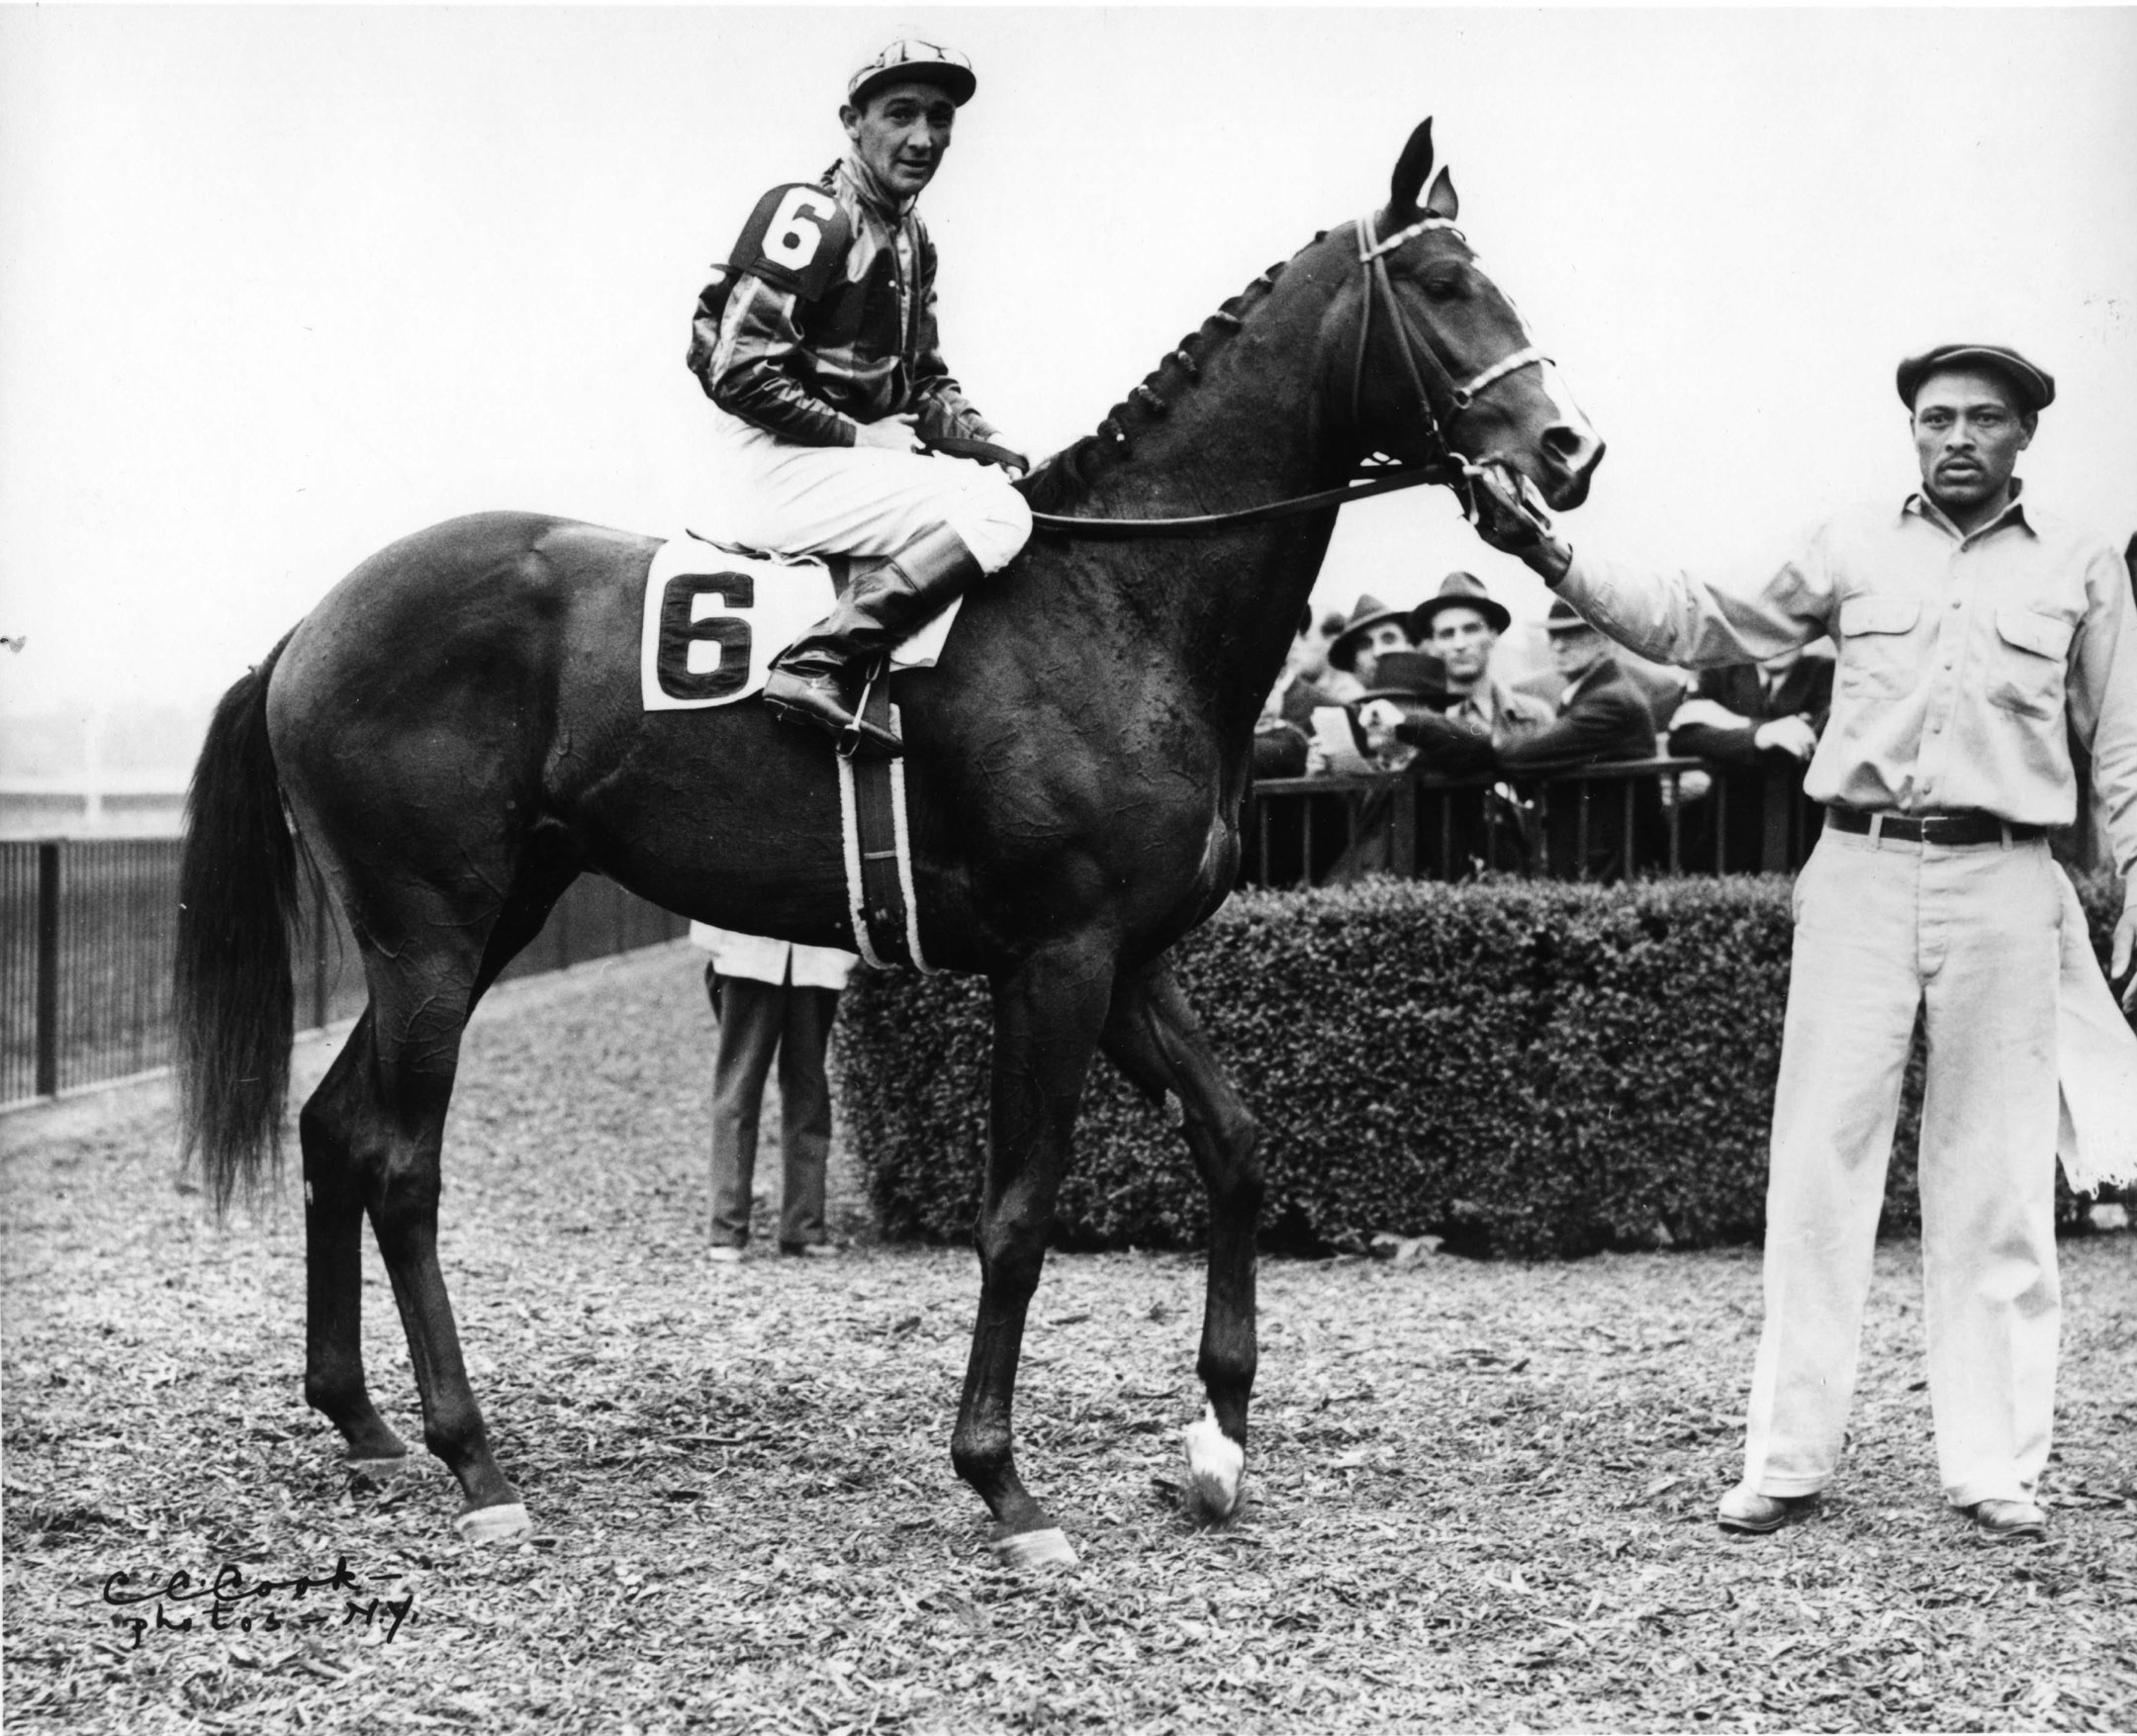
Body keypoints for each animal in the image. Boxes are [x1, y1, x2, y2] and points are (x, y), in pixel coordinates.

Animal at [170, 118, 1607, 1556]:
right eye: (1444, 286)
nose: (1572, 446)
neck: (1120, 602)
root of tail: (308, 626)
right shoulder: (1057, 957)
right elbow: (1019, 1213)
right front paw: (1003, 1481)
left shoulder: (1132, 957)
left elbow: (1237, 1142)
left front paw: (1215, 1445)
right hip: (430, 927)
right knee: (402, 1164)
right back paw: (474, 1461)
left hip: (477, 921)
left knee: (335, 1127)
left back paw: (363, 1423)